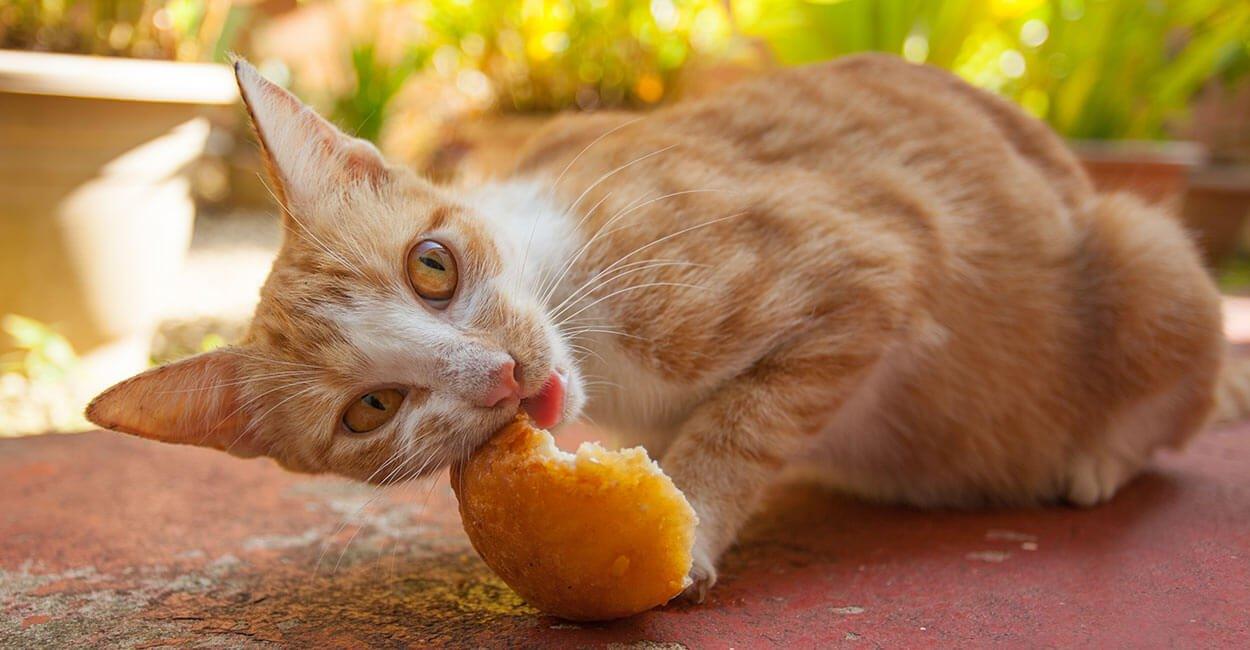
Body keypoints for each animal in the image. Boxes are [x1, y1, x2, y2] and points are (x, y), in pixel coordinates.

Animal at [85, 54, 1240, 600]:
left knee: (1181, 398)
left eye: (431, 265)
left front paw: (690, 517)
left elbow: (745, 418)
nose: (498, 373)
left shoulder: (877, 254)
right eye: (371, 408)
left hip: (1143, 251)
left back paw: (1094, 455)